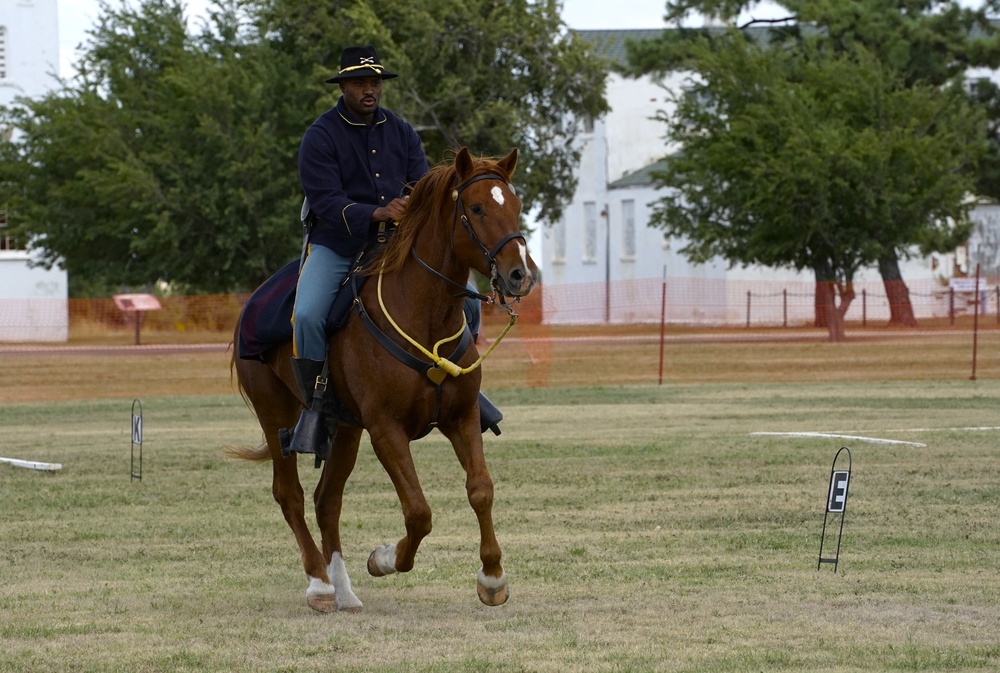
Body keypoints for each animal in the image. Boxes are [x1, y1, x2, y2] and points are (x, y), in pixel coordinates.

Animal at [229, 147, 536, 608]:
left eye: (515, 206)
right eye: (477, 207)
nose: (521, 275)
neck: (423, 314)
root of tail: (250, 307)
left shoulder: (461, 417)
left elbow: (480, 489)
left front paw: (492, 576)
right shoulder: (386, 431)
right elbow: (419, 512)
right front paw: (385, 558)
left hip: (345, 428)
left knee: (326, 499)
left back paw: (342, 589)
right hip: (276, 416)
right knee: (291, 496)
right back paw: (320, 583)